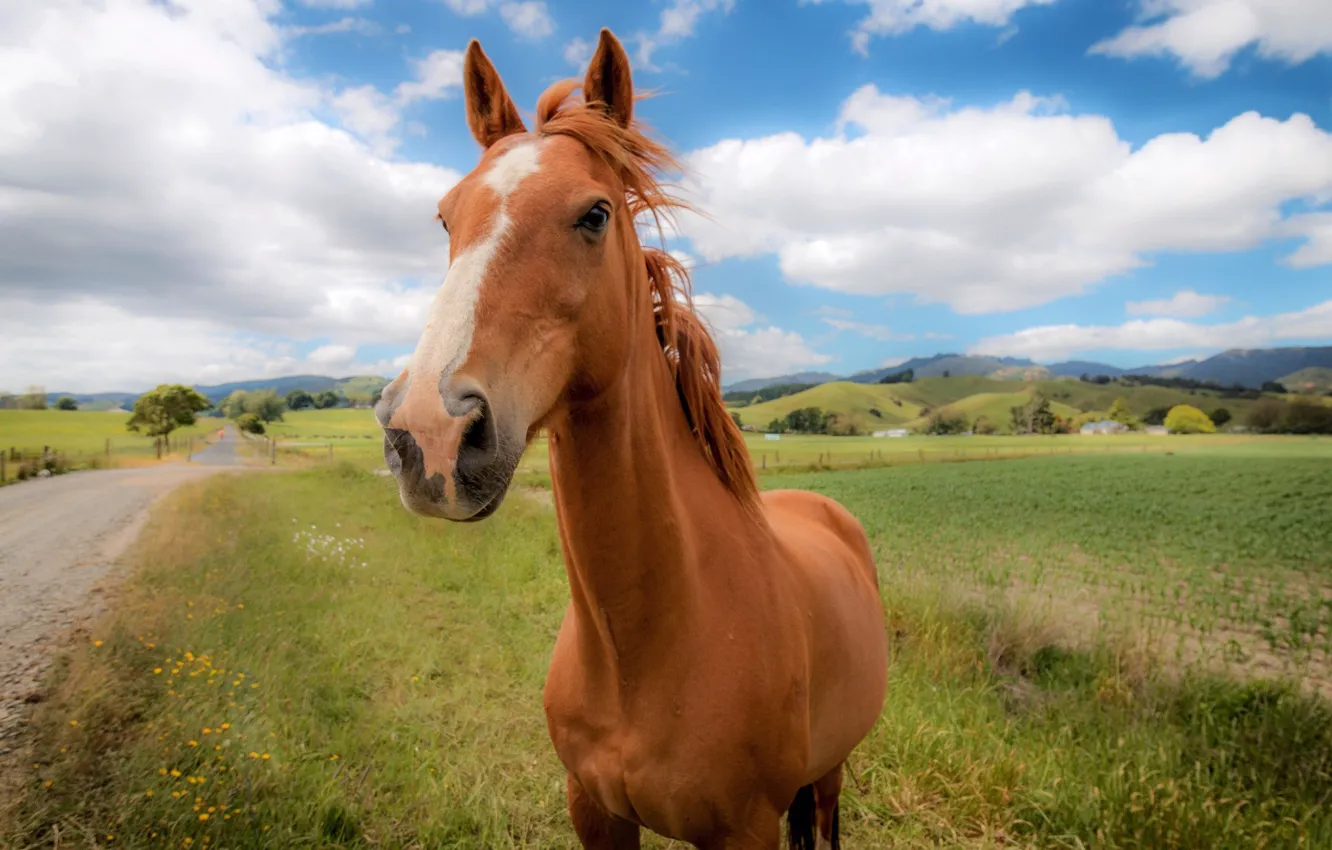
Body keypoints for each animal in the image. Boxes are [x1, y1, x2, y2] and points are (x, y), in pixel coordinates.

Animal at [375, 28, 889, 850]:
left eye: (595, 214)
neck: (640, 651)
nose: (430, 434)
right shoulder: (593, 809)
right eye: (447, 218)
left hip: (833, 769)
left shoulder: (746, 829)